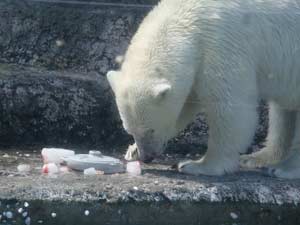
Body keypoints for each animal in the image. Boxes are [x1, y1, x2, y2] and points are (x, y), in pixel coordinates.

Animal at [108, 0, 300, 179]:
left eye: (151, 129)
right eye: (129, 131)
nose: (147, 157)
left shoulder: (221, 45)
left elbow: (229, 107)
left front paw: (198, 165)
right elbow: (187, 103)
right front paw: (132, 151)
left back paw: (283, 168)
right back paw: (257, 158)